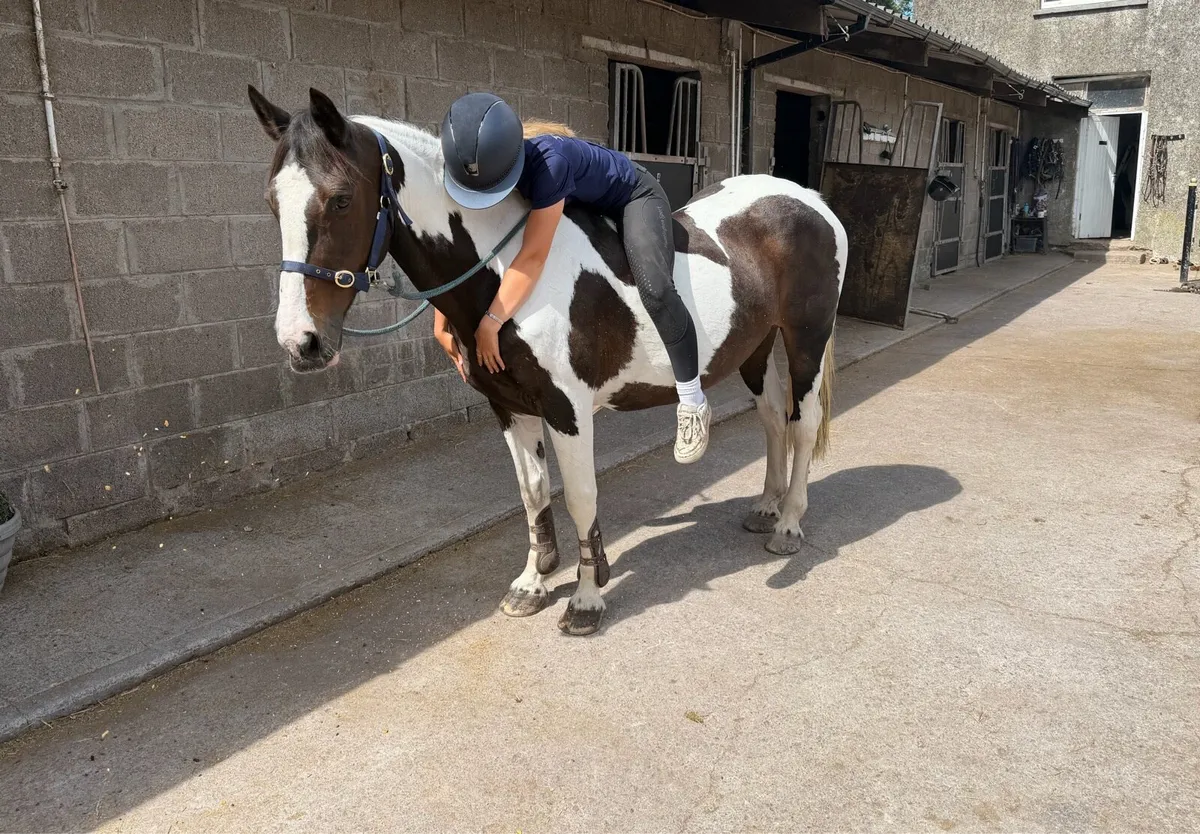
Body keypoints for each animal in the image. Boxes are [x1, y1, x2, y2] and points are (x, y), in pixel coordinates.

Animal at [247, 86, 848, 636]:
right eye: (272, 202)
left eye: (342, 198)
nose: (301, 342)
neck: (506, 275)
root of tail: (811, 200)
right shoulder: (510, 406)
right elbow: (533, 492)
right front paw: (533, 584)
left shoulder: (568, 410)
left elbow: (581, 496)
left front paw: (585, 600)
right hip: (755, 347)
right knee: (772, 419)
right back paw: (765, 508)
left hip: (805, 341)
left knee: (802, 424)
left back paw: (788, 527)